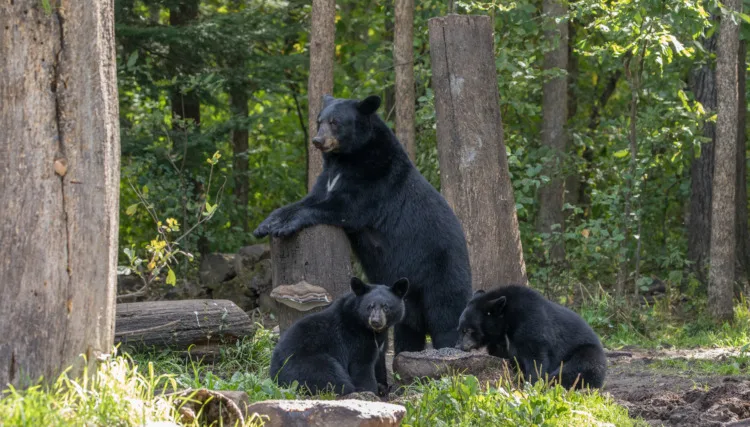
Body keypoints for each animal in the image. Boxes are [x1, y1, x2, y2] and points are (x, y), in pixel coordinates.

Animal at [256, 95, 472, 356]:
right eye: (319, 121)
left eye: (335, 122)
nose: (318, 141)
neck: (345, 159)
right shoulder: (328, 179)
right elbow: (305, 200)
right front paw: (267, 224)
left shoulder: (374, 179)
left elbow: (340, 208)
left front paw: (284, 226)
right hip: (406, 298)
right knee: (408, 327)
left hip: (441, 270)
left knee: (447, 315)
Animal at [272, 278, 408, 394]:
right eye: (370, 306)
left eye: (386, 307)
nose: (376, 321)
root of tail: (275, 375)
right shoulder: (356, 339)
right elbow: (362, 366)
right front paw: (370, 391)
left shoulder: (379, 342)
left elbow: (379, 362)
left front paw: (383, 387)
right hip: (309, 364)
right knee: (333, 378)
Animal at [458, 286, 612, 390]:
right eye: (460, 329)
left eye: (469, 330)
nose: (459, 346)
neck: (506, 323)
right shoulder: (501, 343)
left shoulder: (531, 324)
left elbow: (536, 358)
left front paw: (531, 383)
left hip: (587, 352)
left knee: (580, 366)